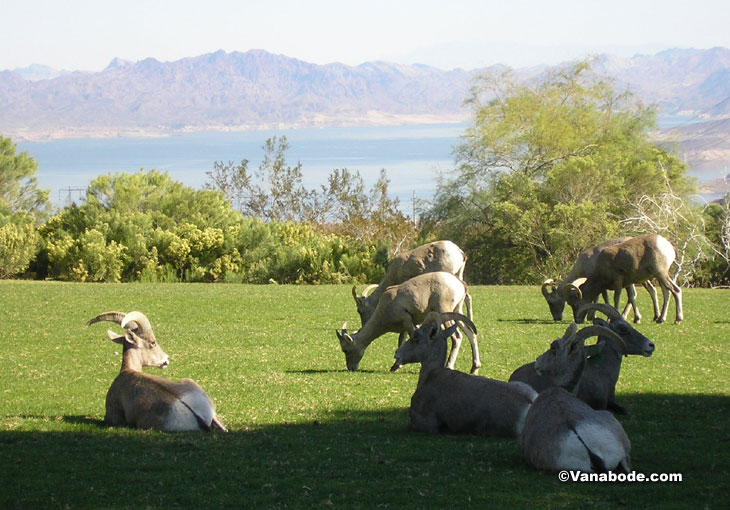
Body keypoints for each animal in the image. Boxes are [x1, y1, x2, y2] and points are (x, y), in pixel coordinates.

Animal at [336, 270, 478, 374]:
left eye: (345, 350)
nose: (351, 368)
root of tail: (460, 284)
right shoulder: (406, 324)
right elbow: (401, 341)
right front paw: (394, 367)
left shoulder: (407, 321)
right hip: (457, 310)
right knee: (471, 333)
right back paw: (474, 368)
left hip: (444, 309)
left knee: (457, 337)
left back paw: (449, 365)